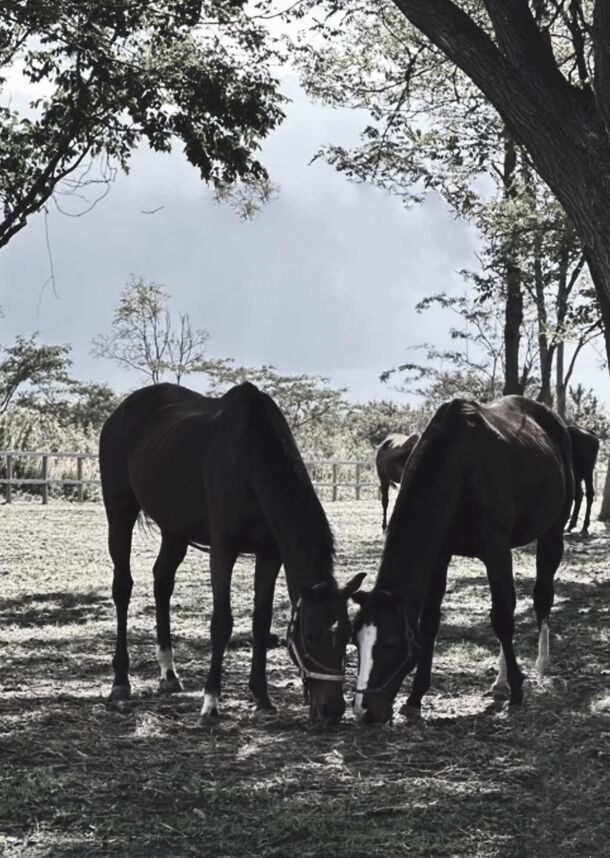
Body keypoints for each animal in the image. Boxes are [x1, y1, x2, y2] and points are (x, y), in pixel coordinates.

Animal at [100, 382, 364, 724]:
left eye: (346, 635)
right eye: (310, 635)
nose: (332, 710)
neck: (251, 458)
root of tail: (120, 412)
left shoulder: (270, 553)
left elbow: (261, 620)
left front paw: (262, 697)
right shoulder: (223, 550)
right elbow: (221, 623)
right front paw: (211, 701)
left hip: (174, 530)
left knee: (162, 581)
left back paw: (168, 673)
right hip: (120, 511)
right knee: (123, 588)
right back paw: (121, 680)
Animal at [350, 394, 572, 724]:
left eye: (390, 643)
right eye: (356, 640)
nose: (364, 710)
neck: (459, 465)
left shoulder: (495, 547)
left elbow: (502, 618)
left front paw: (518, 691)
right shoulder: (441, 554)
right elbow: (430, 621)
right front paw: (415, 697)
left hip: (552, 533)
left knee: (542, 598)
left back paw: (539, 667)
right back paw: (500, 682)